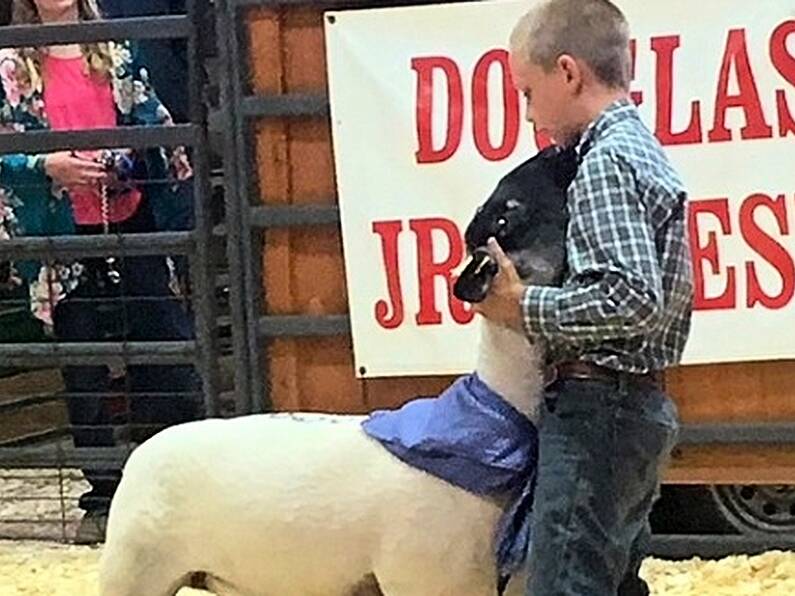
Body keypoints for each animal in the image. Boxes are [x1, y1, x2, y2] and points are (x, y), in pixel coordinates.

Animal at [98, 146, 580, 596]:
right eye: (507, 216)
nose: (558, 150)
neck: (493, 414)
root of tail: (140, 454)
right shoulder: (426, 578)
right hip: (133, 567)